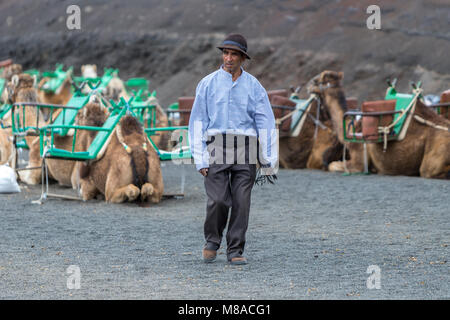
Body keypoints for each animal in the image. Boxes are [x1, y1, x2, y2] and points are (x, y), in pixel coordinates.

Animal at [308, 70, 448, 179]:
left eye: (317, 80)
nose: (308, 86)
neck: (351, 131)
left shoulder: (358, 162)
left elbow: (332, 165)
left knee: (429, 171)